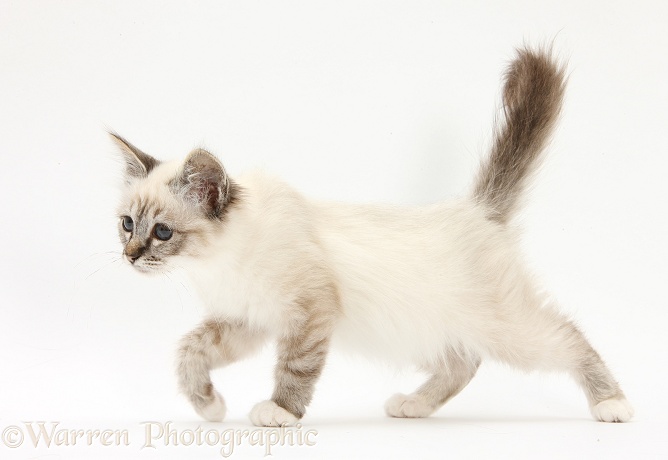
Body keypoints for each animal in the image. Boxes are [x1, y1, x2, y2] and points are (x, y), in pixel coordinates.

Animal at [112, 47, 636, 428]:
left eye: (162, 232)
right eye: (126, 224)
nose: (131, 256)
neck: (217, 262)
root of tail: (478, 209)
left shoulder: (310, 313)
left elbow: (294, 368)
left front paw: (279, 411)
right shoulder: (248, 320)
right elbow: (189, 352)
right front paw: (209, 406)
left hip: (506, 328)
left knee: (568, 338)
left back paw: (612, 404)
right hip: (438, 325)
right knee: (463, 362)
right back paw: (414, 406)